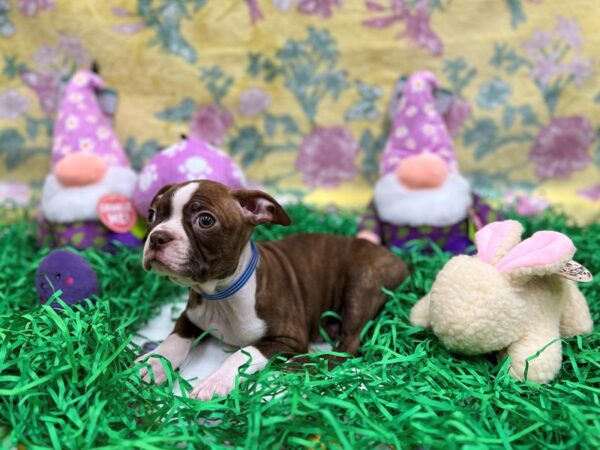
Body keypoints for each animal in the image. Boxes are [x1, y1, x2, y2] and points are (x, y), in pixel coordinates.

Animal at [137, 178, 408, 398]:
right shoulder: (191, 315)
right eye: (152, 214)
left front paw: (215, 382)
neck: (220, 295)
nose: (158, 237)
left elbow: (244, 352)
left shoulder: (288, 339)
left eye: (205, 220)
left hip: (360, 282)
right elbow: (175, 337)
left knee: (349, 346)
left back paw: (308, 363)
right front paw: (153, 364)